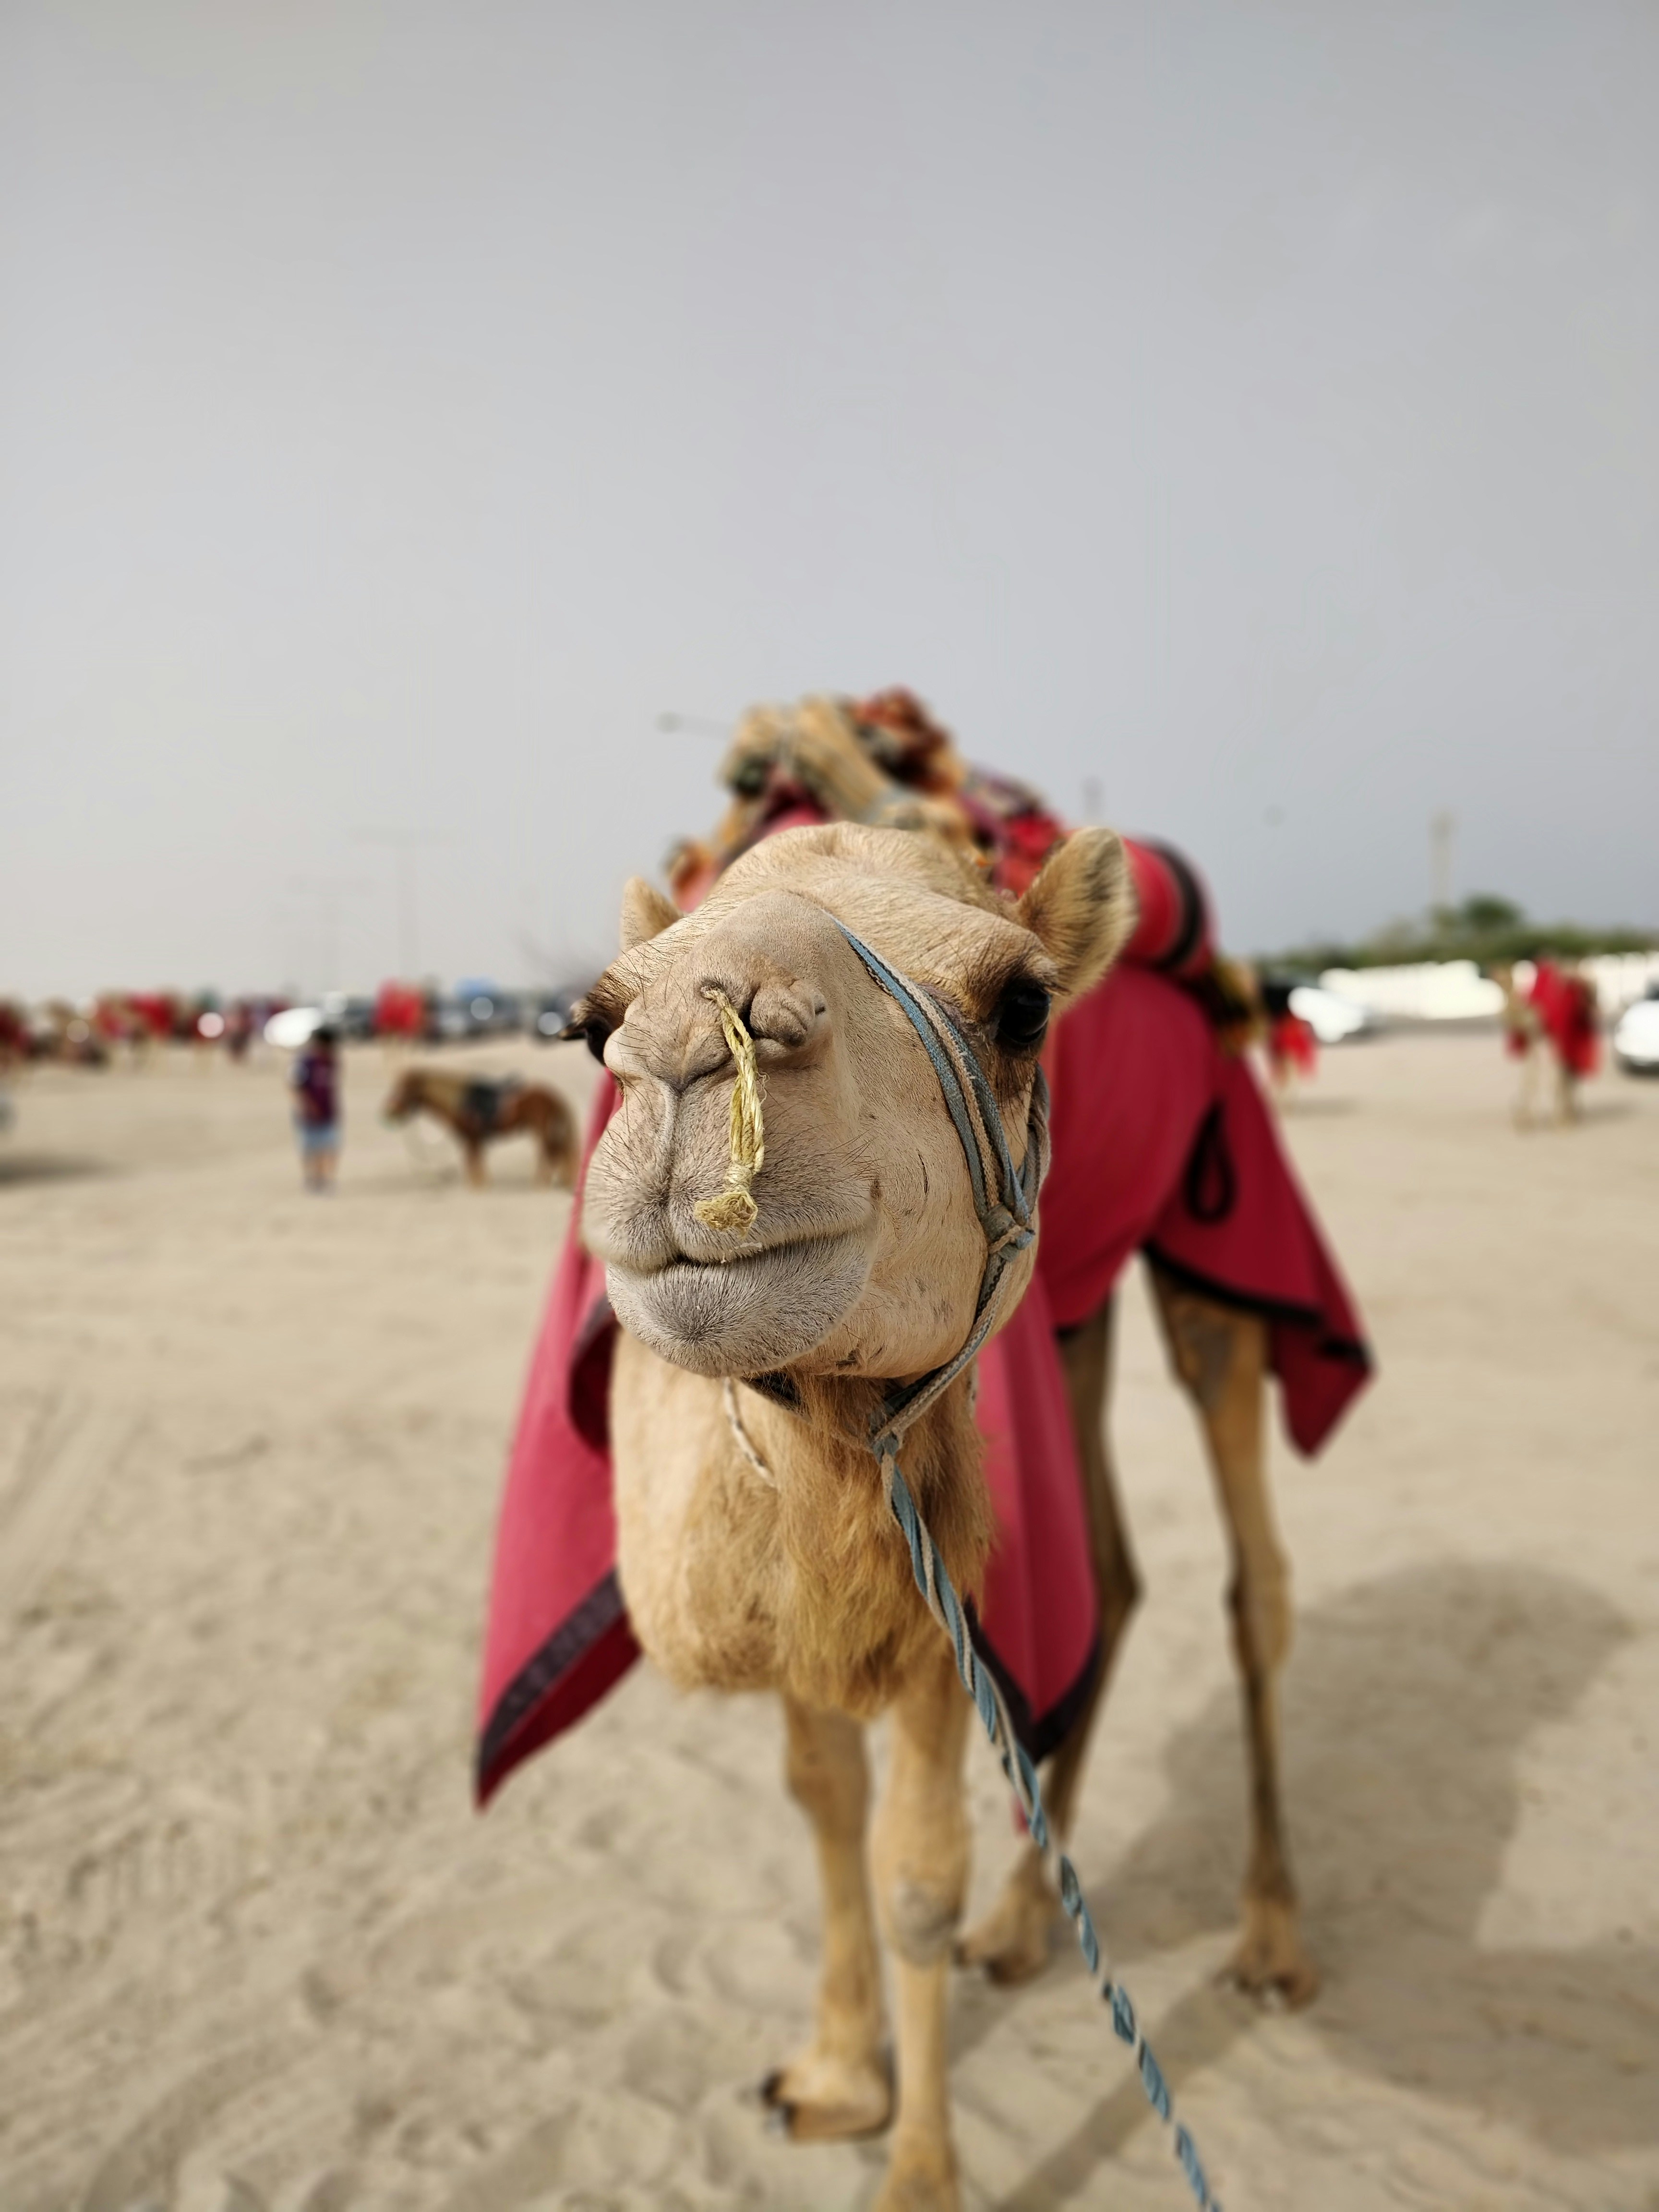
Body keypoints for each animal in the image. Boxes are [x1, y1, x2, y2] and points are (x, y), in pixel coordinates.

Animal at [382, 1068, 577, 1189]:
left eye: (404, 1088)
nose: (389, 1111)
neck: (460, 1103)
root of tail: (552, 1094)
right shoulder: (472, 1139)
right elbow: (474, 1160)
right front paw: (481, 1184)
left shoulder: (472, 1137)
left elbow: (473, 1160)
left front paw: (477, 1186)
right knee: (555, 1152)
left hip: (542, 1132)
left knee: (549, 1153)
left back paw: (541, 1183)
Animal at [571, 817, 1131, 2210]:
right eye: (586, 1024)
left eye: (1025, 1004)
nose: (691, 1036)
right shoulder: (785, 1618)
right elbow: (821, 1799)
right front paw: (832, 2078)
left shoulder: (948, 1615)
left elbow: (918, 1879)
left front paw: (921, 2173)